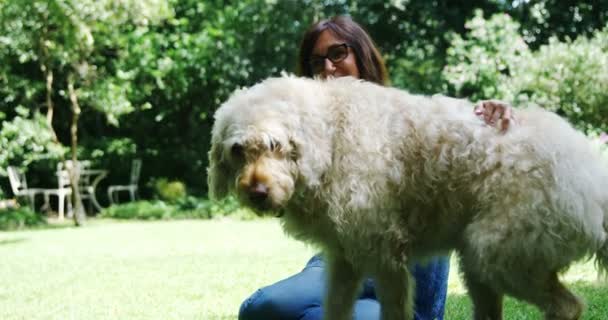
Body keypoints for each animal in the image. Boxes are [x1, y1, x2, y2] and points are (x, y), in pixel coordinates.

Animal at [207, 75, 604, 320]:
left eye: (275, 145)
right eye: (238, 150)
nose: (257, 193)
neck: (331, 138)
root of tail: (592, 176)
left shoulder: (386, 258)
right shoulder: (344, 260)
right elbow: (335, 308)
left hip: (497, 254)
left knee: (568, 306)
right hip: (482, 266)